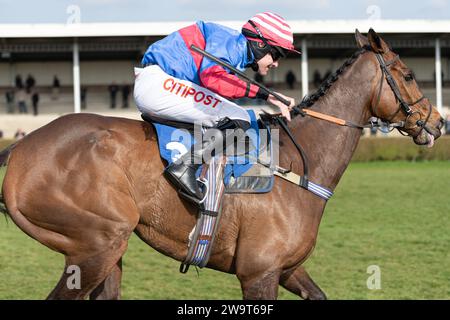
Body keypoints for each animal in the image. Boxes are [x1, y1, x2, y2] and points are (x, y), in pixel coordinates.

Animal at [0, 28, 442, 298]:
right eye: (407, 74)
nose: (438, 122)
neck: (300, 163)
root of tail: (20, 149)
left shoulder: (286, 268)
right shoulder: (259, 273)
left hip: (107, 252)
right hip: (98, 243)